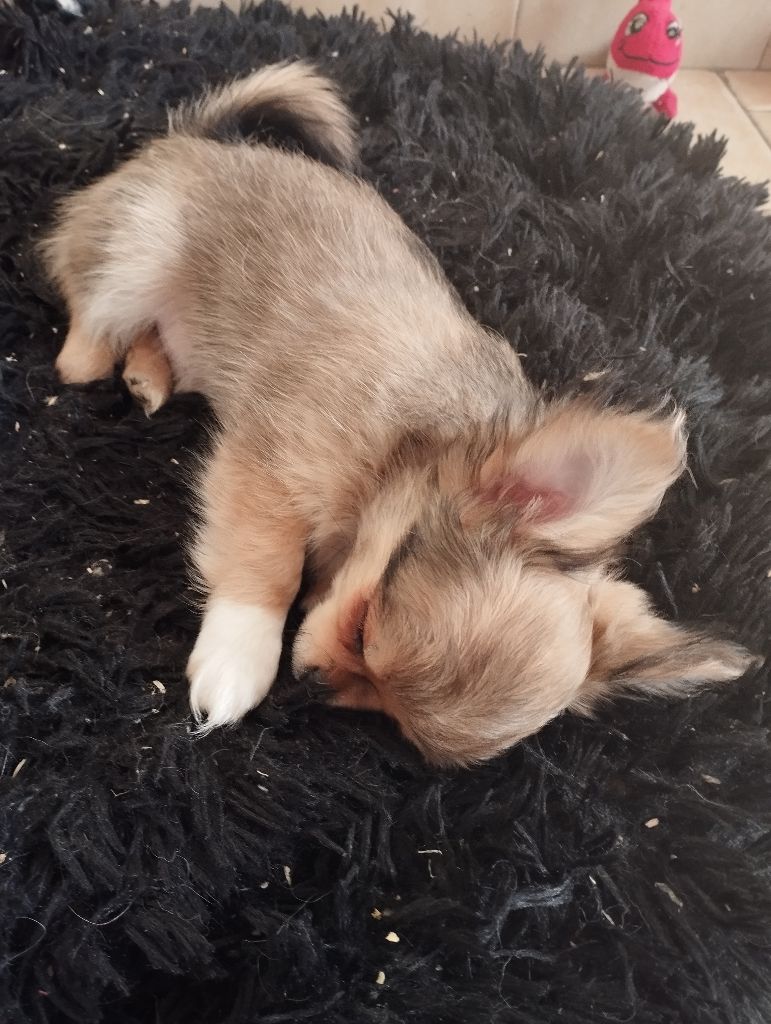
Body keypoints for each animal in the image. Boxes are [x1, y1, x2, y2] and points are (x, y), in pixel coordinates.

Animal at [42, 62, 757, 765]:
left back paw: (146, 373)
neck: (406, 451)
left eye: (386, 712)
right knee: (87, 321)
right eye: (363, 630)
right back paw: (90, 358)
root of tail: (198, 139)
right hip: (137, 254)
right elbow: (269, 564)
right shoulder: (266, 467)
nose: (314, 683)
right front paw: (240, 658)